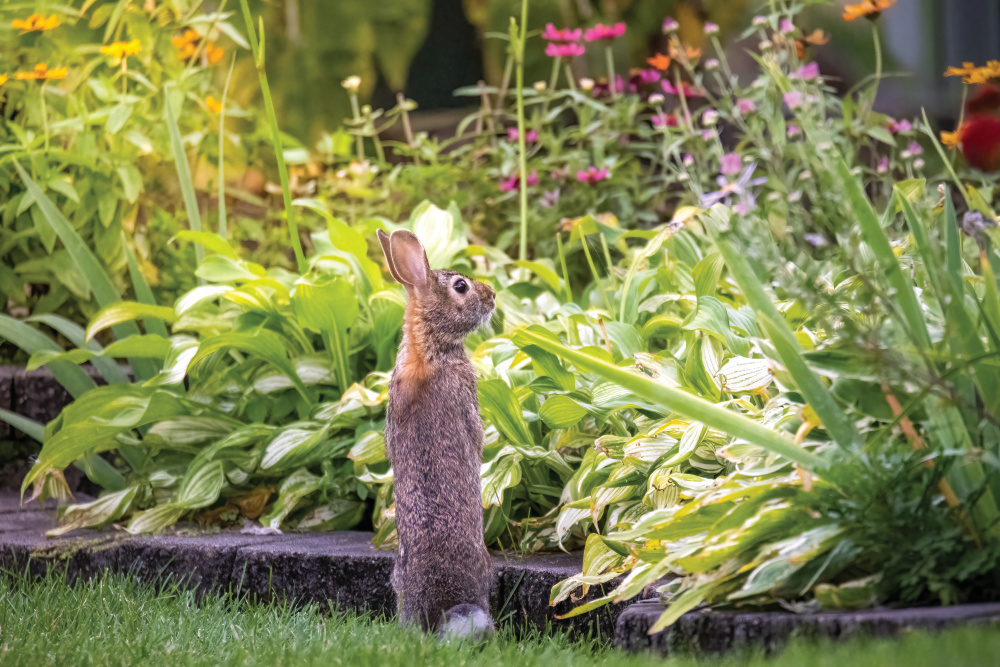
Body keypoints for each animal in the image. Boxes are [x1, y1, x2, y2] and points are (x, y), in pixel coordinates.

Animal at [376, 228, 497, 641]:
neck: (427, 347)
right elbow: (476, 435)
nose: (492, 295)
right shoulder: (467, 399)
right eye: (461, 286)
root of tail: (439, 607)